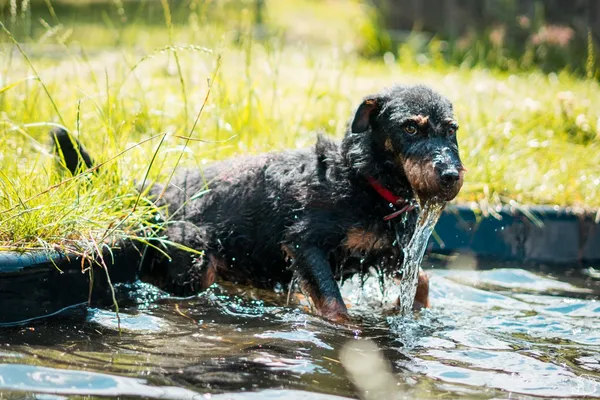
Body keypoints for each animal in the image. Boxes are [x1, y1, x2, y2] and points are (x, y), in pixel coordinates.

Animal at [51, 83, 464, 322]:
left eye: (452, 130)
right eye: (410, 127)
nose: (450, 175)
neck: (365, 179)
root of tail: (150, 194)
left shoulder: (387, 250)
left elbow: (422, 280)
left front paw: (402, 309)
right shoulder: (304, 243)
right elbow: (334, 306)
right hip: (195, 255)